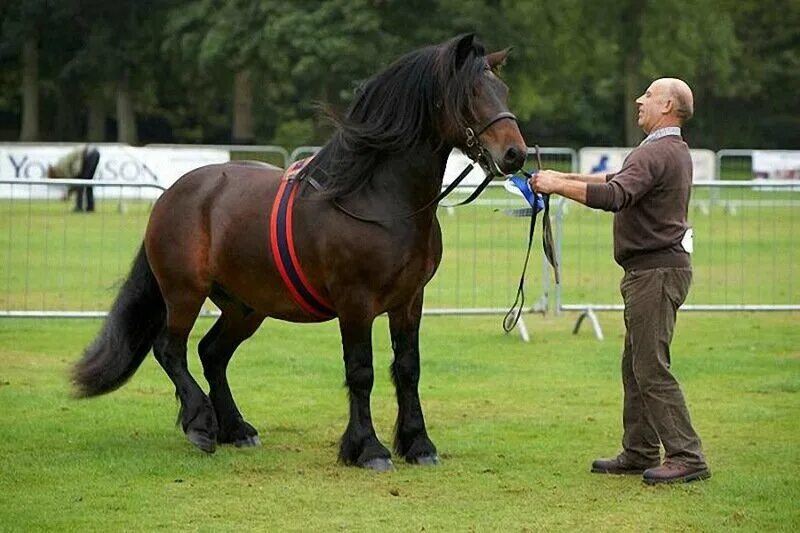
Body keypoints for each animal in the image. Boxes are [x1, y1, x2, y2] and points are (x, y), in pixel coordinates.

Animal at [73, 34, 524, 470]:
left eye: (502, 89)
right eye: (471, 94)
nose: (514, 154)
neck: (379, 199)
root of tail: (173, 193)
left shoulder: (410, 300)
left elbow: (408, 368)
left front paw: (418, 445)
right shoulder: (355, 302)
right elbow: (361, 371)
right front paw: (368, 450)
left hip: (245, 306)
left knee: (212, 353)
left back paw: (235, 428)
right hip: (184, 293)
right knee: (170, 349)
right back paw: (201, 423)